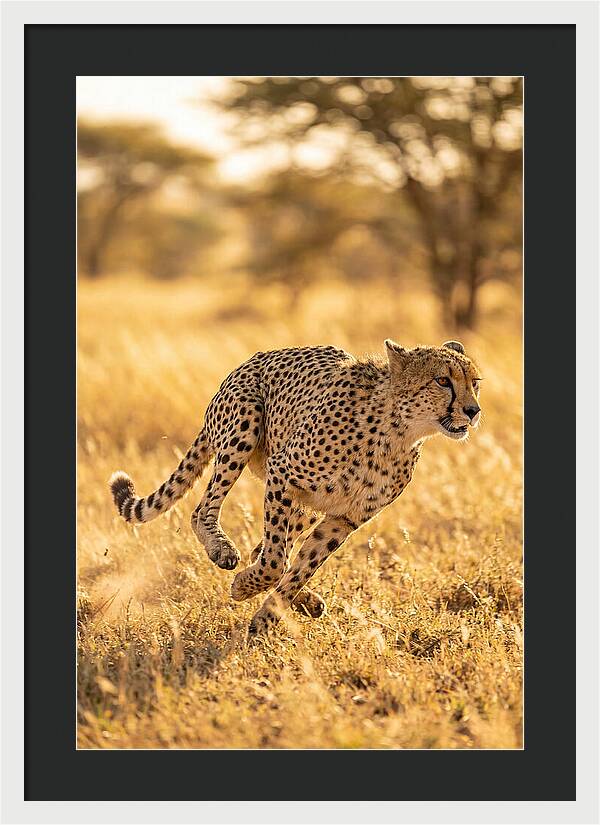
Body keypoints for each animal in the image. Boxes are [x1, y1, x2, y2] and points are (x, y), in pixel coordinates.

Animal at [110, 339, 482, 636]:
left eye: (474, 382)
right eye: (442, 381)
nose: (473, 410)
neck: (398, 432)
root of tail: (251, 360)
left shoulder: (344, 518)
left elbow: (301, 566)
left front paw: (267, 616)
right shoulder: (282, 474)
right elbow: (275, 561)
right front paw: (244, 588)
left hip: (305, 505)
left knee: (266, 548)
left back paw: (306, 601)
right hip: (244, 426)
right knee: (204, 511)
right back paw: (222, 550)